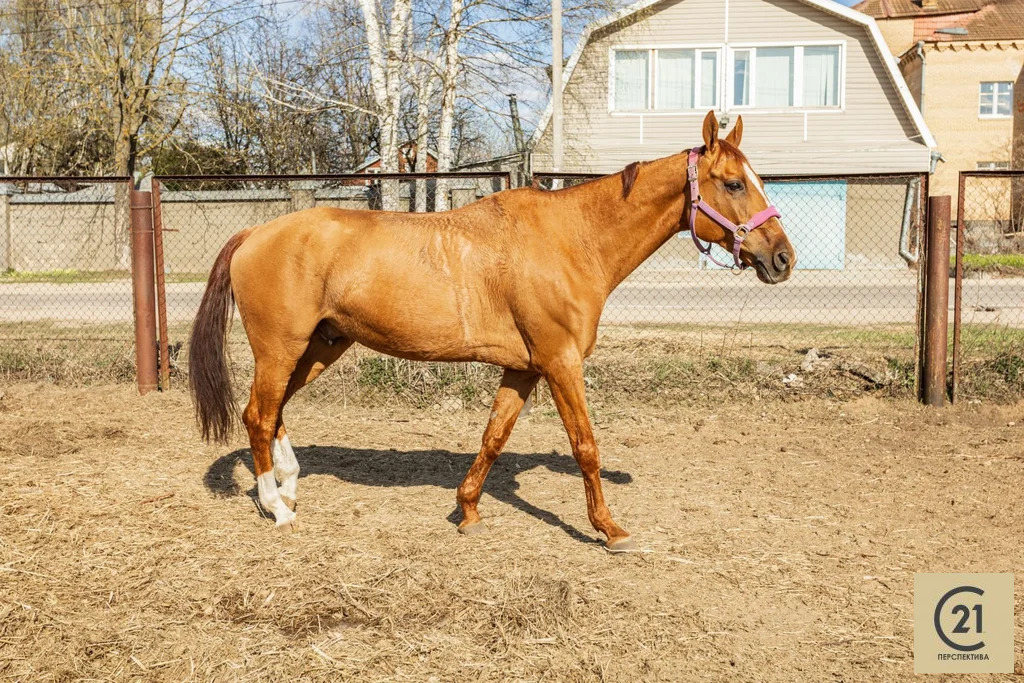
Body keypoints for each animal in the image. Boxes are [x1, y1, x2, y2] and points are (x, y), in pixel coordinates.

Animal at [193, 111, 798, 548]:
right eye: (733, 184)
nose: (783, 259)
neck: (572, 240)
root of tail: (254, 232)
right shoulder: (560, 363)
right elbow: (585, 446)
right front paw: (609, 529)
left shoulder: (523, 369)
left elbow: (493, 437)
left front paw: (467, 511)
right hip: (282, 349)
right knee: (258, 414)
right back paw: (276, 508)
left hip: (320, 347)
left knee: (270, 412)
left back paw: (289, 486)